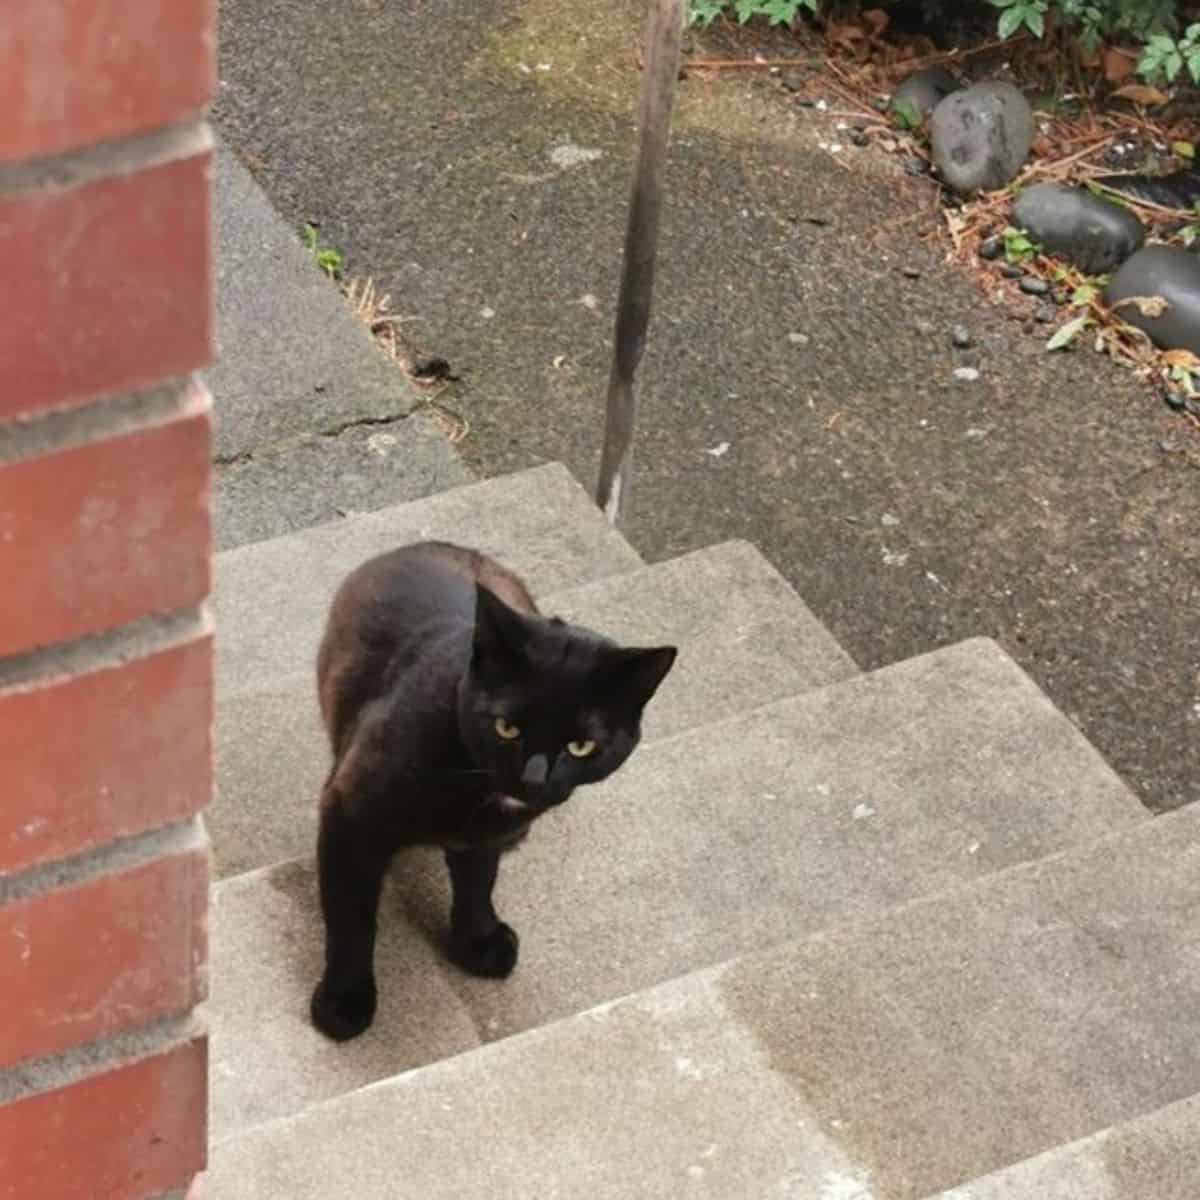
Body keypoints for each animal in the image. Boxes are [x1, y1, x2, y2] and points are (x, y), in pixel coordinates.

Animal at [307, 540, 676, 1036]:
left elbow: (478, 882)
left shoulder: (486, 835)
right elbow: (352, 918)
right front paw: (344, 1001)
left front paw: (477, 941)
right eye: (506, 727)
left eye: (581, 746)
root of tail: (424, 545)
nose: (534, 777)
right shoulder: (349, 814)